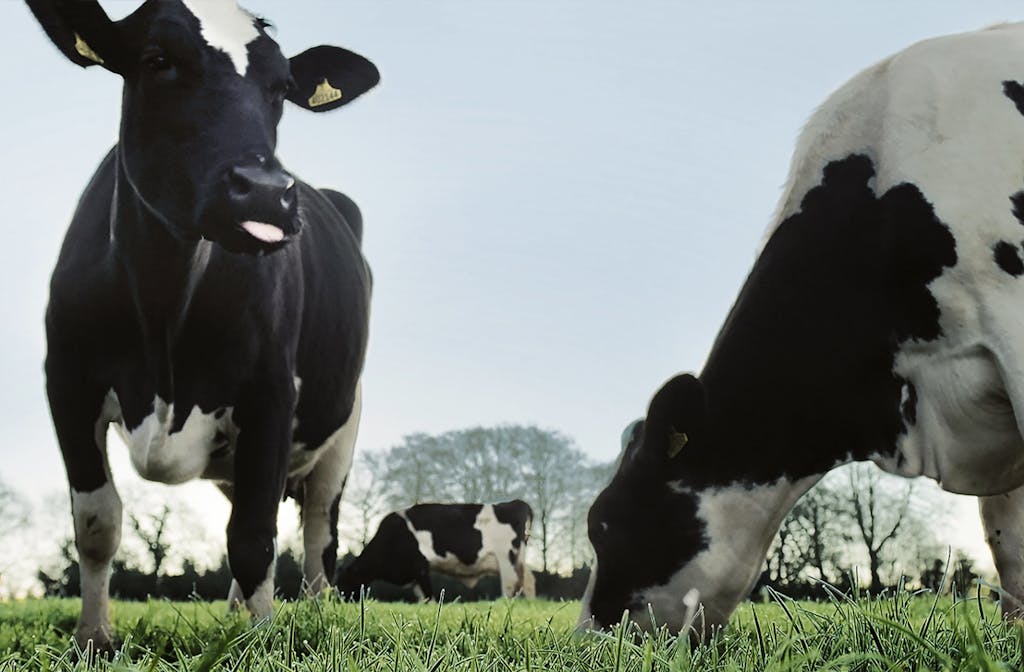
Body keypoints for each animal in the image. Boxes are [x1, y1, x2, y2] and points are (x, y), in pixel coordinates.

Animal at [26, 0, 378, 650]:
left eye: (282, 88)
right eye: (157, 60)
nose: (265, 193)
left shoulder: (271, 390)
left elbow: (255, 537)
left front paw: (261, 646)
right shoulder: (65, 378)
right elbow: (96, 521)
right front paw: (94, 637)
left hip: (342, 426)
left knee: (319, 530)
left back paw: (316, 615)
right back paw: (237, 613)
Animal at [336, 500, 534, 601]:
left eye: (343, 583)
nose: (340, 601)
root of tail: (517, 502)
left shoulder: (421, 567)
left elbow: (428, 595)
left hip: (507, 559)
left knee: (510, 585)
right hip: (519, 560)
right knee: (529, 581)